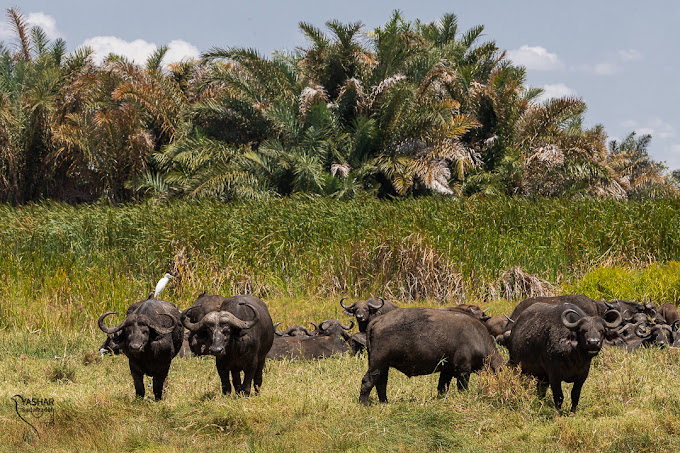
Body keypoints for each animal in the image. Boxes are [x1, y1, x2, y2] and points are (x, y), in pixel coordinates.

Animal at [358, 306, 502, 404]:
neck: (477, 338)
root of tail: (378, 320)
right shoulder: (463, 370)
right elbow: (462, 388)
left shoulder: (447, 371)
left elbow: (442, 387)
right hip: (377, 363)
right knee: (367, 381)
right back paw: (363, 403)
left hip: (383, 366)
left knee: (381, 383)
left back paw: (385, 402)